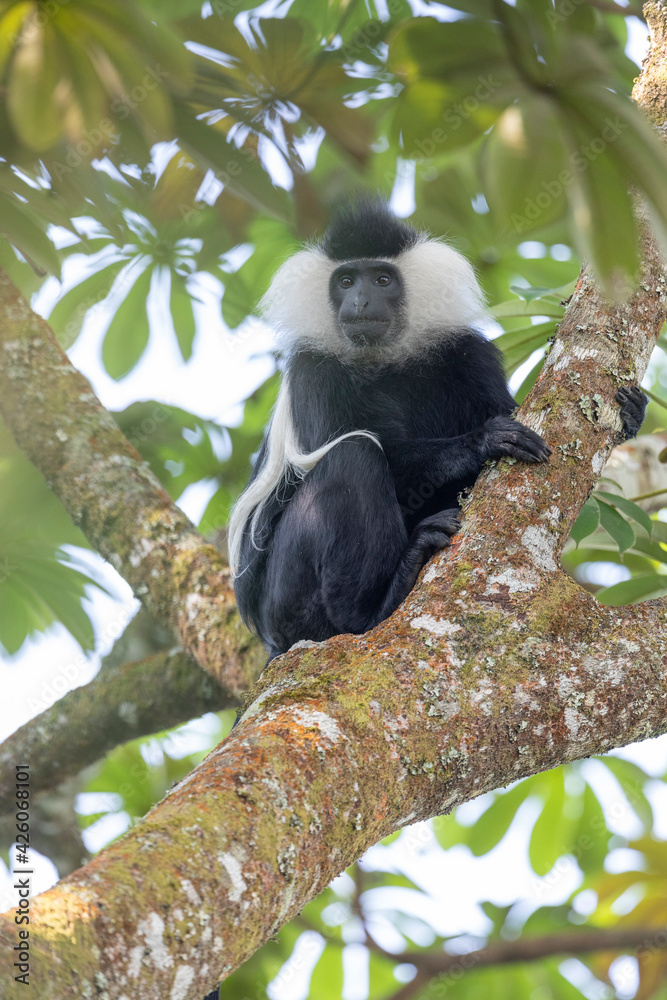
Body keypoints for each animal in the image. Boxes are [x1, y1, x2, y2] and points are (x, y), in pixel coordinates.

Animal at [227, 200, 646, 660]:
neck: (386, 361)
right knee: (353, 456)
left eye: (383, 279)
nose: (359, 300)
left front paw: (631, 415)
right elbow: (373, 453)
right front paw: (484, 441)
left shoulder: (468, 352)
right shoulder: (312, 367)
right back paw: (376, 604)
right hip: (288, 599)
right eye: (346, 281)